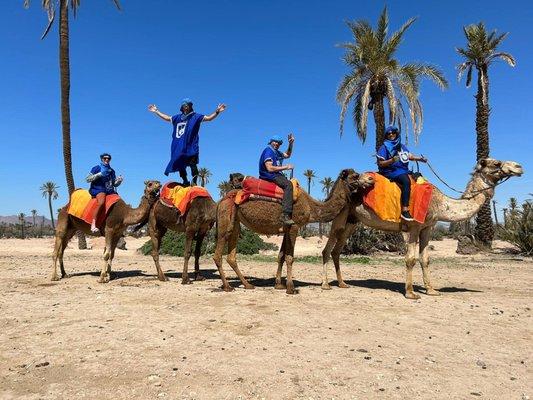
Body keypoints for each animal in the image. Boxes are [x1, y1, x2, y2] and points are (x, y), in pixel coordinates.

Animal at [213, 169, 374, 294]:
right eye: (355, 176)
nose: (371, 180)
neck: (311, 207)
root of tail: (222, 199)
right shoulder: (294, 226)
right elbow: (290, 257)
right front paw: (290, 288)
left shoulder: (286, 229)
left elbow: (281, 256)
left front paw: (279, 284)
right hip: (225, 218)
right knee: (218, 253)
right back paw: (227, 287)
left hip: (235, 223)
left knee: (231, 256)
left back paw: (247, 284)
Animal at [320, 158, 524, 298]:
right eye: (496, 163)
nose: (519, 166)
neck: (440, 203)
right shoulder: (414, 226)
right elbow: (410, 258)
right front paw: (411, 292)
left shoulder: (428, 227)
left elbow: (425, 259)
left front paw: (431, 290)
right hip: (340, 215)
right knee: (327, 249)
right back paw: (325, 285)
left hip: (352, 221)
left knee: (337, 250)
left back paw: (342, 283)